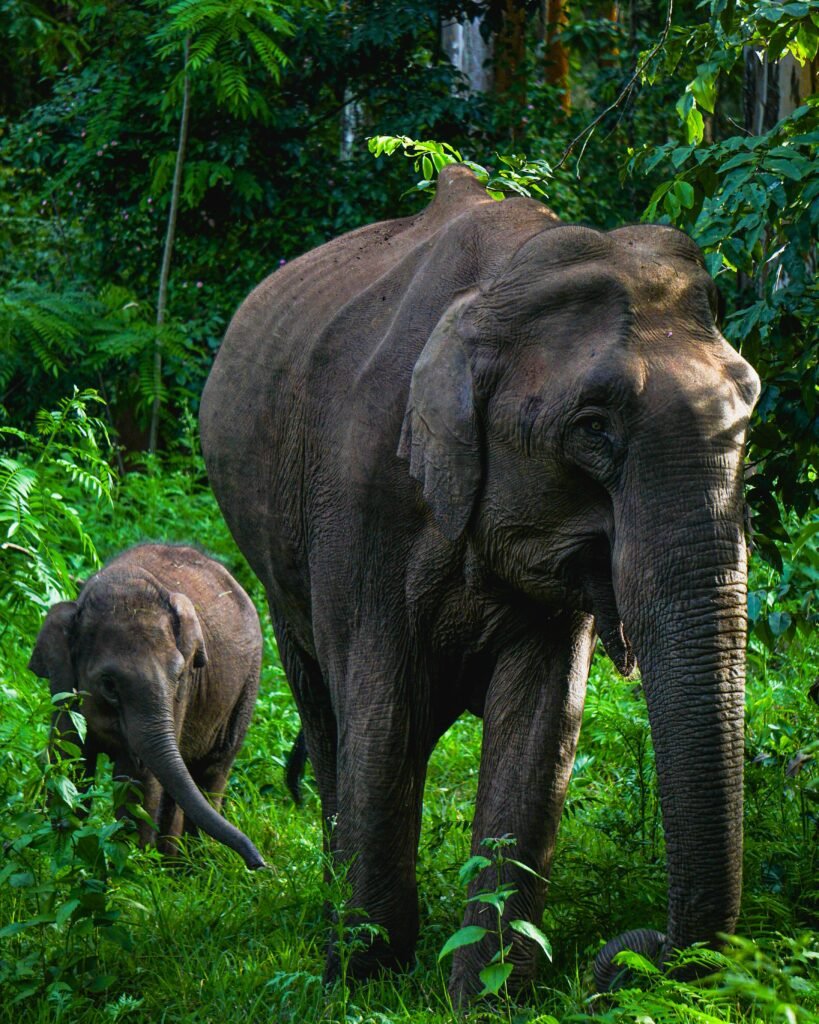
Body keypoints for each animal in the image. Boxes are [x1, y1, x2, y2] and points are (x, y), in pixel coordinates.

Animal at [29, 543, 265, 870]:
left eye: (178, 675)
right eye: (109, 685)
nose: (258, 863)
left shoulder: (181, 694)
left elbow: (137, 780)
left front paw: (128, 872)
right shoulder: (63, 688)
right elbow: (69, 759)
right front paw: (63, 859)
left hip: (247, 687)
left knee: (212, 770)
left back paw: (188, 867)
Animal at [199, 164, 760, 997]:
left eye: (749, 408)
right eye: (592, 428)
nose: (620, 957)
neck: (498, 287)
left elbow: (540, 725)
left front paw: (487, 995)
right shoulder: (359, 500)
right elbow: (381, 710)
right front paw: (365, 978)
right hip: (276, 563)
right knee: (327, 712)